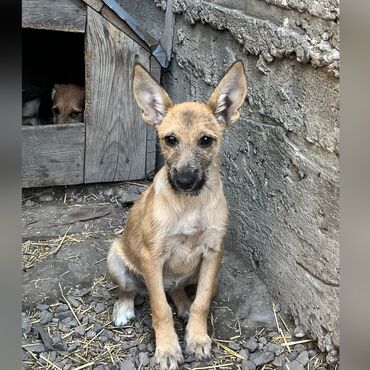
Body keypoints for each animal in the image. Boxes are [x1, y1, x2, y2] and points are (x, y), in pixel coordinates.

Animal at [107, 61, 247, 370]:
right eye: (170, 140)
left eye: (206, 141)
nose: (184, 181)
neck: (189, 205)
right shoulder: (152, 257)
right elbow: (160, 309)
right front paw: (168, 350)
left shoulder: (213, 252)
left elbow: (201, 303)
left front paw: (196, 338)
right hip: (116, 260)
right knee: (130, 290)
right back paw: (123, 308)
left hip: (210, 279)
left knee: (177, 291)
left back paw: (182, 305)